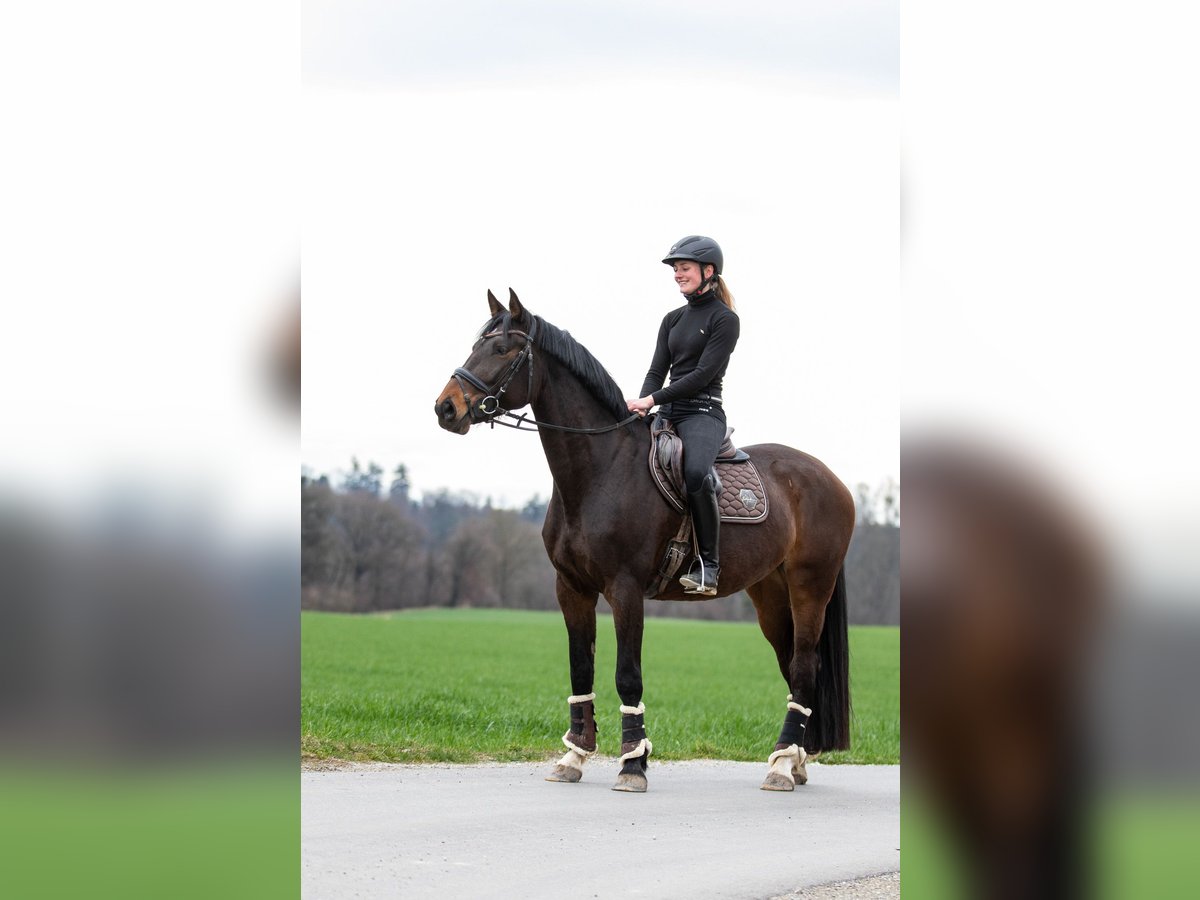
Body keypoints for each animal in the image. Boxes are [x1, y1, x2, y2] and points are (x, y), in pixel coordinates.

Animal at [432, 292, 854, 792]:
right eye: (476, 345)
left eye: (502, 350)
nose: (445, 408)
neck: (601, 468)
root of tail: (831, 479)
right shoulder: (571, 589)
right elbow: (581, 669)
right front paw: (574, 756)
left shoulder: (626, 590)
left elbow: (627, 676)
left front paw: (633, 763)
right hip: (770, 594)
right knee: (792, 666)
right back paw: (794, 759)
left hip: (811, 587)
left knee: (805, 667)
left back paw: (783, 765)